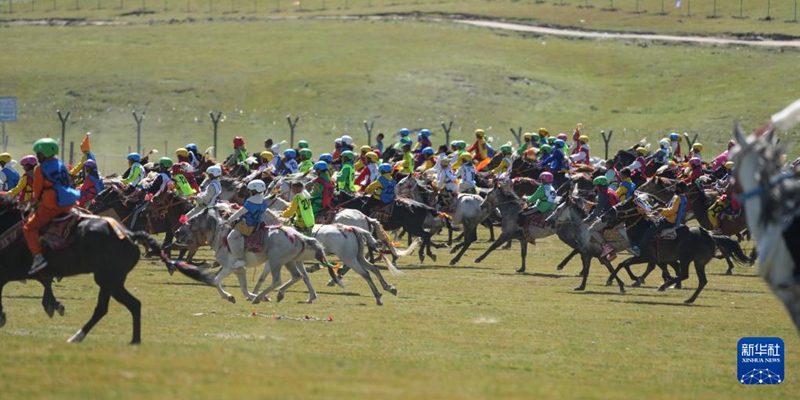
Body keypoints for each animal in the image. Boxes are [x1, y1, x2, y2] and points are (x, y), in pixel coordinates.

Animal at [0, 195, 214, 342]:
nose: (93, 204)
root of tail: (130, 236)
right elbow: (45, 281)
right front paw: (53, 304)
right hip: (110, 280)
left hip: (107, 279)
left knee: (114, 306)